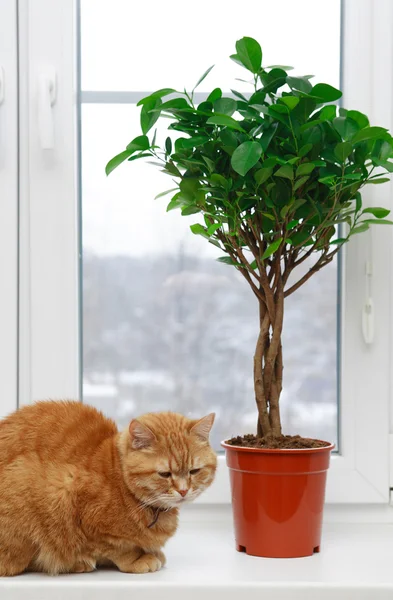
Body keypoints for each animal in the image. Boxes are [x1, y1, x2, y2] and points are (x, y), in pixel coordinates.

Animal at [0, 400, 216, 576]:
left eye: (194, 471)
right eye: (164, 474)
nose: (183, 491)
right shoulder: (82, 511)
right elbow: (118, 549)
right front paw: (138, 558)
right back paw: (78, 564)